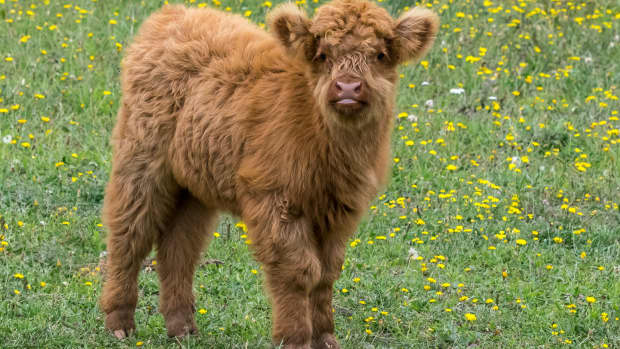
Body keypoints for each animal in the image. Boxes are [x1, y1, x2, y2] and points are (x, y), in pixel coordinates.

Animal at [101, 1, 438, 346]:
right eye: (323, 54)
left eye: (380, 55)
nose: (347, 87)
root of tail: (174, 14)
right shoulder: (275, 200)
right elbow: (299, 270)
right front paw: (295, 338)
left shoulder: (340, 212)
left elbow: (326, 274)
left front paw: (325, 337)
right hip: (141, 163)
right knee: (129, 235)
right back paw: (119, 322)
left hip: (194, 186)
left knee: (179, 248)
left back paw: (183, 328)